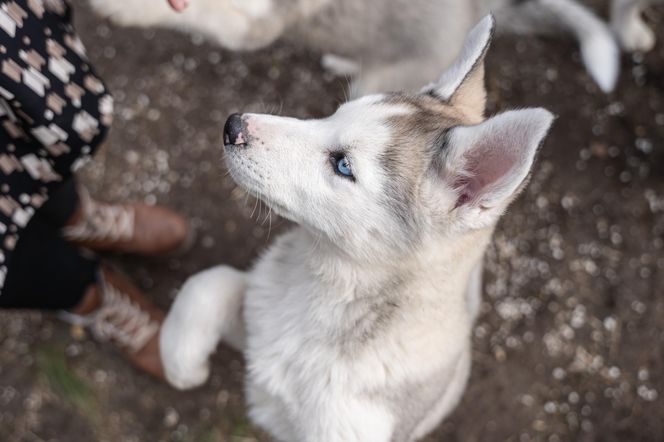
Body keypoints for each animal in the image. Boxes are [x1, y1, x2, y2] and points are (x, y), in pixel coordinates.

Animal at [160, 15, 556, 440]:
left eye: (343, 165)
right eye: (332, 115)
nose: (233, 125)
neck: (325, 289)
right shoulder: (255, 314)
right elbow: (206, 283)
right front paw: (182, 363)